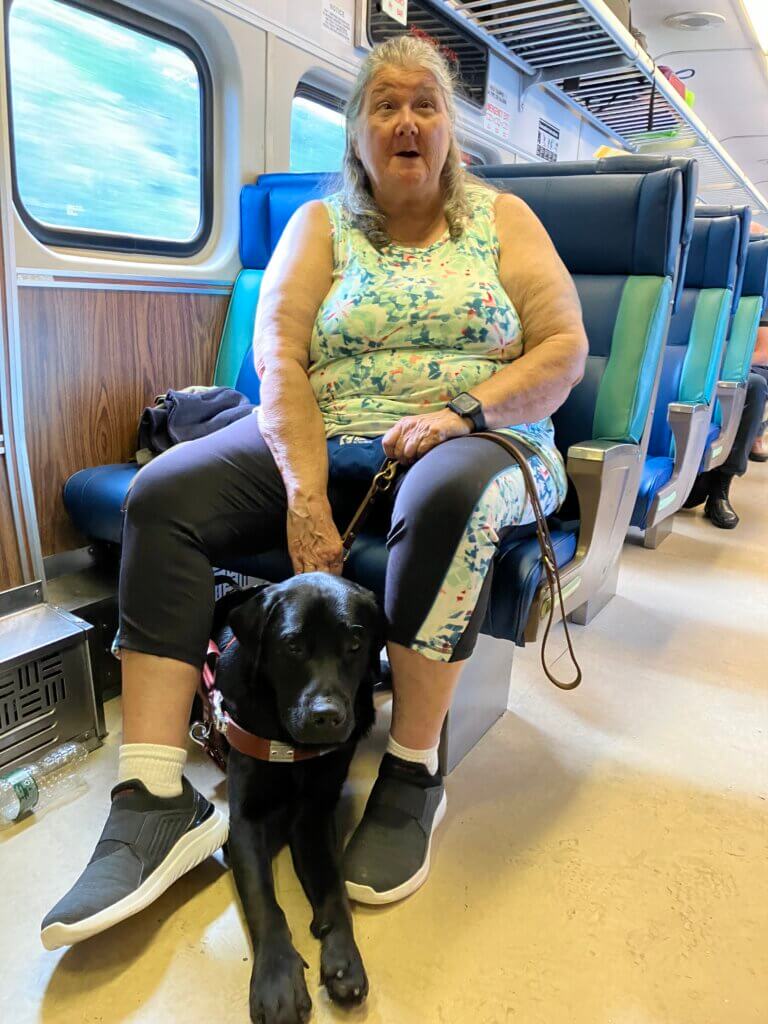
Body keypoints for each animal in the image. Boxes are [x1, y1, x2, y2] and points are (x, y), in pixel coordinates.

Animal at [210, 573, 385, 1024]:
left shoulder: (315, 815)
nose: (327, 717)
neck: (290, 745)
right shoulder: (245, 822)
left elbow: (334, 887)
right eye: (292, 646)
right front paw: (277, 979)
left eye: (355, 644)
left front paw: (344, 956)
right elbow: (264, 903)